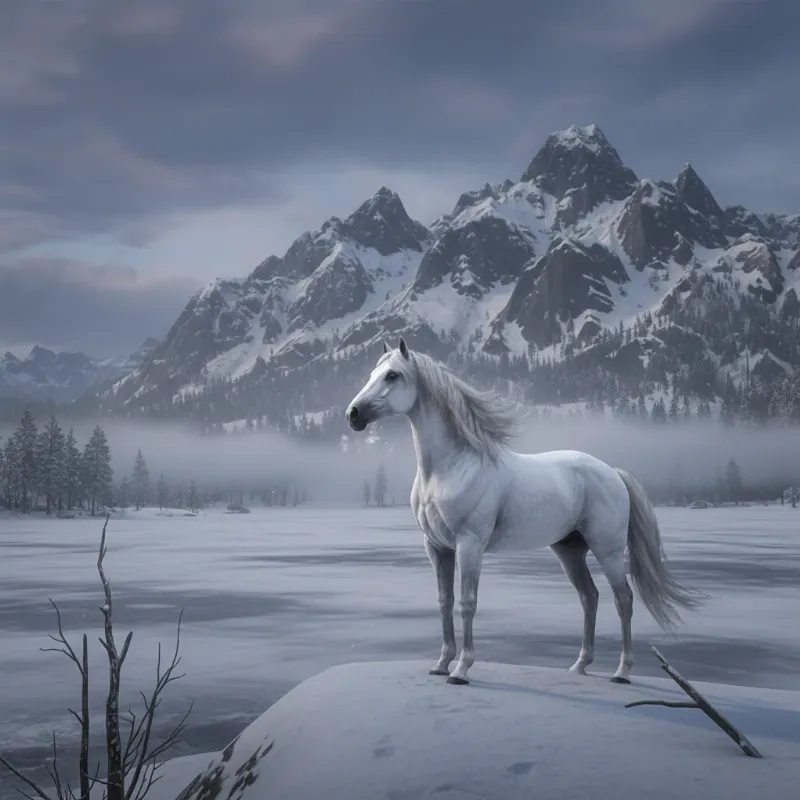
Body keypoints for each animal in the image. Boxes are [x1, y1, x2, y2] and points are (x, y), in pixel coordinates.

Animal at [345, 337, 702, 686]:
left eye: (392, 375)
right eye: (372, 375)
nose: (353, 414)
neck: (451, 468)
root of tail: (613, 473)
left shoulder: (470, 544)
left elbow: (467, 603)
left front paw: (461, 669)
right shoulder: (437, 548)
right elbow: (444, 601)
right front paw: (441, 664)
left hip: (608, 550)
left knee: (623, 599)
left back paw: (621, 671)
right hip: (570, 551)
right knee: (590, 597)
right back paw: (579, 666)